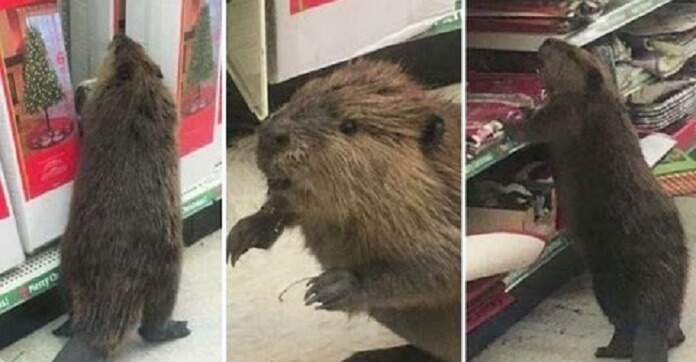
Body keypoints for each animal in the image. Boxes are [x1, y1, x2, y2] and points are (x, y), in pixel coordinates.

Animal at [51, 33, 190, 360]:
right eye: (118, 47)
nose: (119, 35)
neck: (135, 86)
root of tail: (95, 333)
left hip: (71, 262)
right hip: (168, 267)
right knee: (150, 325)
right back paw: (179, 327)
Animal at [228, 60, 462, 362]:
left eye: (349, 125)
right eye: (301, 94)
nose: (271, 134)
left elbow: (440, 267)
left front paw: (329, 287)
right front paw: (243, 235)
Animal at [508, 38, 688, 360]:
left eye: (567, 51)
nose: (546, 41)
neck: (600, 98)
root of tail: (655, 315)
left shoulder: (568, 112)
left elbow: (539, 127)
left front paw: (514, 120)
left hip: (608, 283)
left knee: (624, 326)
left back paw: (606, 349)